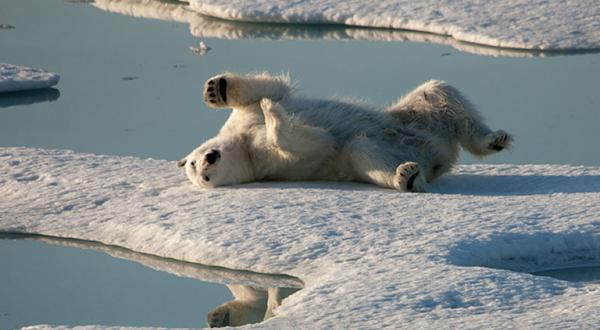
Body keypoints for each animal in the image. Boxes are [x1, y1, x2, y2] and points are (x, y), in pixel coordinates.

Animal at [177, 72, 510, 191]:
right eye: (202, 177)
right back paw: (407, 176)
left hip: (415, 117)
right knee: (363, 150)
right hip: (390, 147)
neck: (242, 144)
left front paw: (217, 89)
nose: (208, 160)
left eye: (194, 163)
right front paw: (274, 120)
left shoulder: (242, 120)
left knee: (438, 92)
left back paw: (494, 139)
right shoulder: (268, 163)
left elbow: (266, 90)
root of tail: (439, 155)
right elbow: (313, 143)